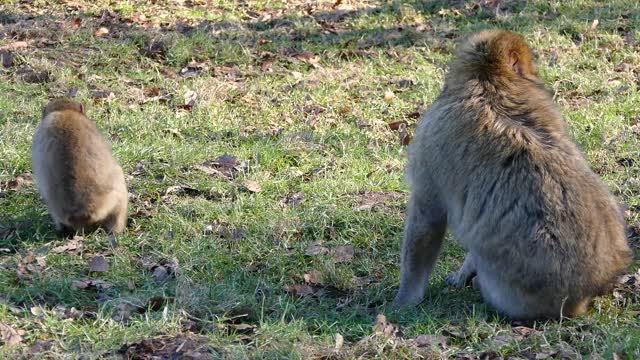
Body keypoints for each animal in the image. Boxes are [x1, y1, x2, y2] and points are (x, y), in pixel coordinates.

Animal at [392, 29, 632, 320]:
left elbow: (427, 219)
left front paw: (405, 299)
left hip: (511, 291)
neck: (490, 83)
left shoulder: (431, 142)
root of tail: (585, 294)